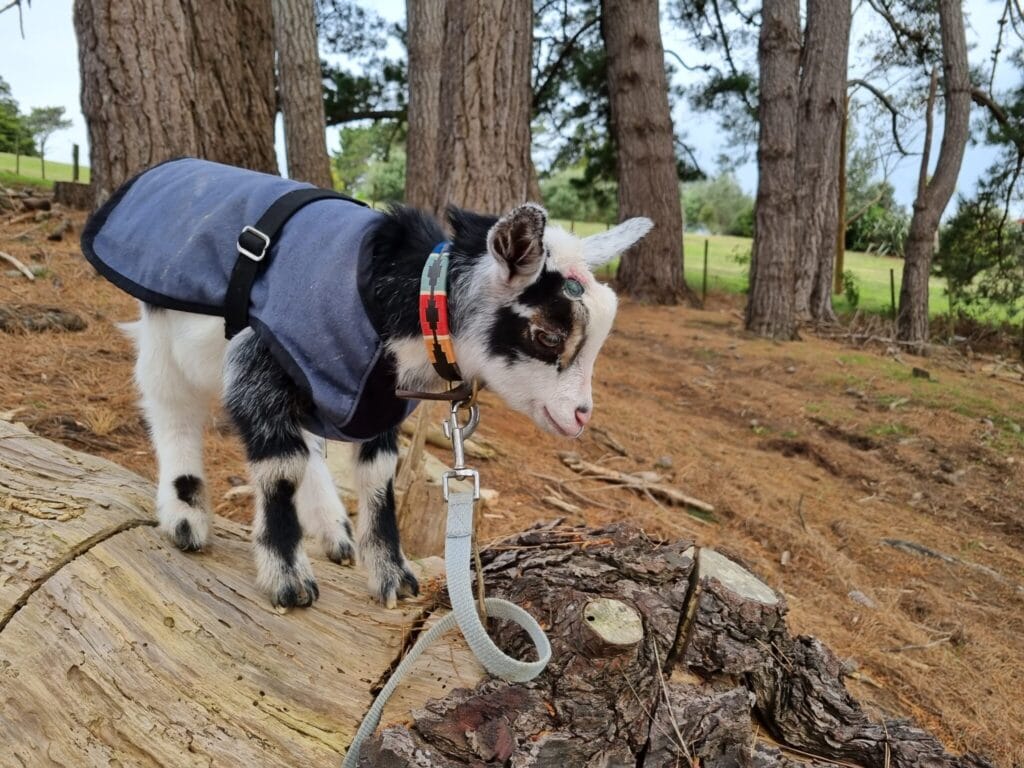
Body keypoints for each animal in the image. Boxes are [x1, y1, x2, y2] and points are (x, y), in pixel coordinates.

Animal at [82, 159, 652, 609]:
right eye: (548, 335)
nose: (580, 416)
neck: (404, 297)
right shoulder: (260, 363)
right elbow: (279, 467)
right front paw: (287, 578)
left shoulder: (372, 398)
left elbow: (377, 478)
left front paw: (392, 575)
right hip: (165, 333)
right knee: (171, 408)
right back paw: (186, 516)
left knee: (307, 443)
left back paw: (333, 529)